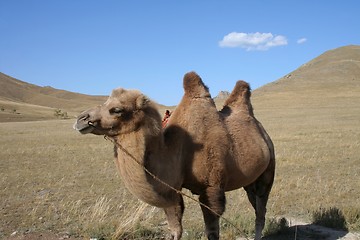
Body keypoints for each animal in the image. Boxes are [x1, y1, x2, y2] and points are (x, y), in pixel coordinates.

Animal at [74, 71, 276, 240]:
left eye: (116, 110)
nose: (81, 119)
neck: (178, 151)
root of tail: (264, 133)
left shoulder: (212, 188)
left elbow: (212, 231)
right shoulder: (171, 189)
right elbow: (174, 228)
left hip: (268, 170)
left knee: (261, 209)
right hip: (250, 180)